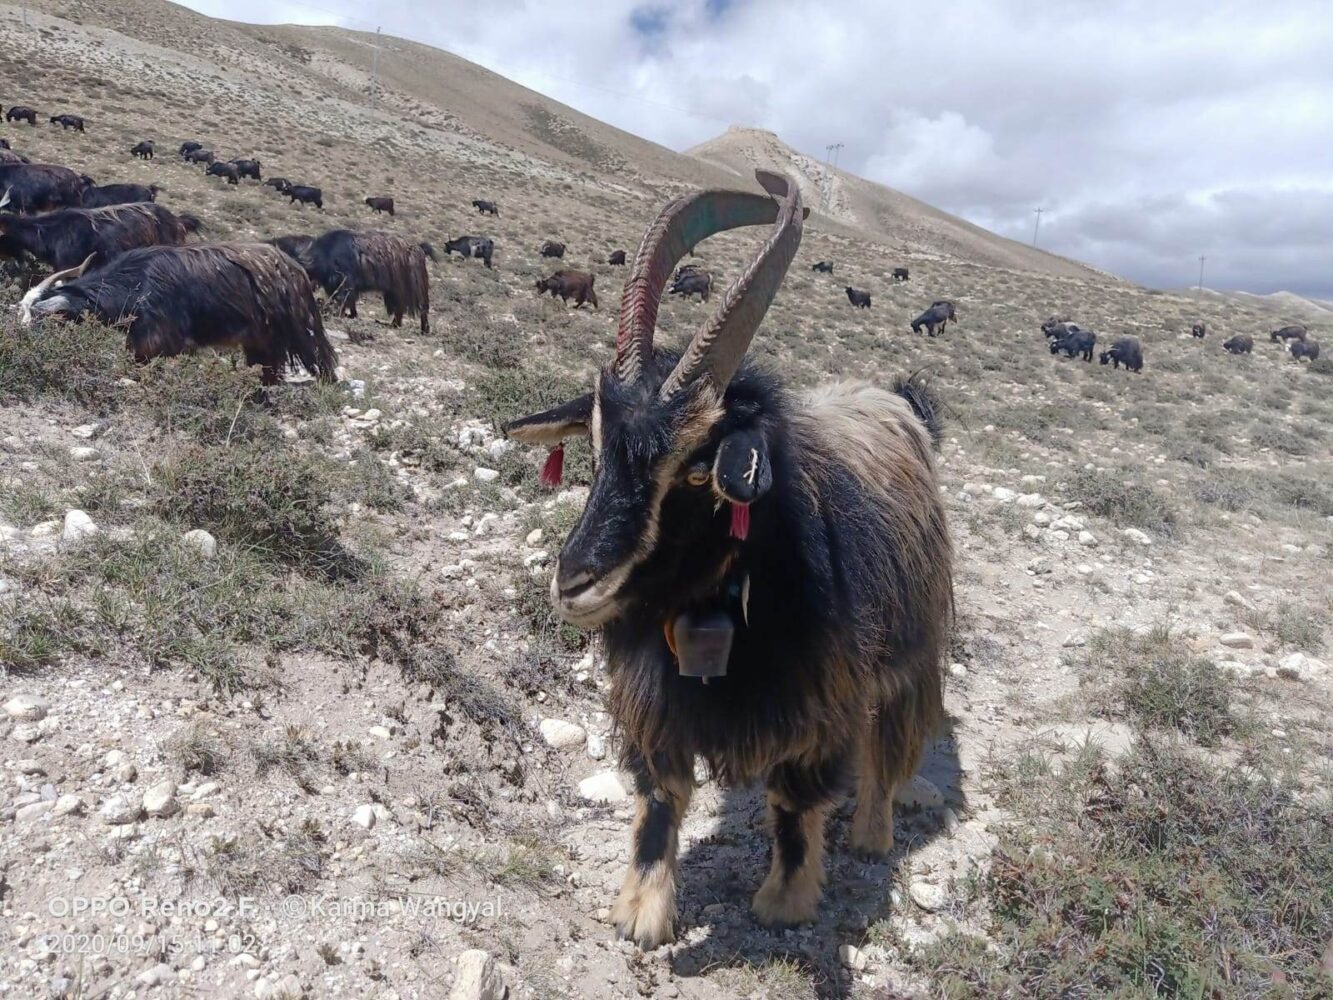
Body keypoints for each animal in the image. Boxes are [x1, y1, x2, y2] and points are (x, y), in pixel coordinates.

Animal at [20, 249, 335, 386]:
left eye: (42, 321)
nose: (24, 343)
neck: (138, 282)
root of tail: (297, 271)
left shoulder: (156, 340)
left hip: (301, 329)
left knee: (320, 355)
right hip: (260, 339)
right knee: (267, 364)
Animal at [503, 174, 954, 954]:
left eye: (697, 470)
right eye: (594, 444)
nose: (575, 581)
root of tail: (899, 400)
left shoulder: (820, 690)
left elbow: (795, 795)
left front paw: (785, 900)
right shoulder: (654, 692)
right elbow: (661, 791)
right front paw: (641, 910)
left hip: (910, 647)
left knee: (890, 742)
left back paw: (871, 832)